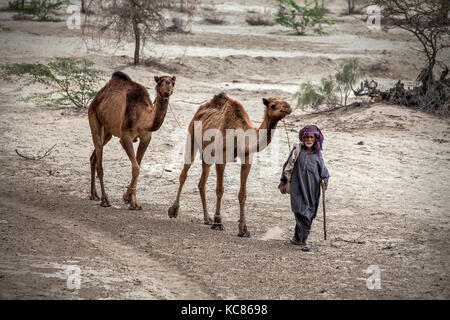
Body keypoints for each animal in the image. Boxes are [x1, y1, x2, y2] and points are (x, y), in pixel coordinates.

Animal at [88, 71, 176, 209]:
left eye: (173, 82)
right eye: (159, 82)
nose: (168, 86)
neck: (143, 116)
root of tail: (97, 98)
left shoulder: (146, 138)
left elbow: (138, 165)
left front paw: (133, 201)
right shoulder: (125, 138)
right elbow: (136, 168)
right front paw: (128, 198)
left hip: (108, 132)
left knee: (94, 157)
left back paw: (94, 195)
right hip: (93, 116)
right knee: (99, 159)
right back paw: (104, 200)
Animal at [168, 92, 292, 238]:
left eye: (285, 101)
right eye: (273, 105)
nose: (288, 108)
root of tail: (201, 109)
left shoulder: (247, 157)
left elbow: (242, 194)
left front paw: (244, 230)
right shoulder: (221, 157)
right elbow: (220, 190)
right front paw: (218, 223)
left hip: (207, 154)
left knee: (201, 183)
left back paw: (207, 218)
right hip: (191, 136)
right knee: (184, 173)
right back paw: (173, 211)